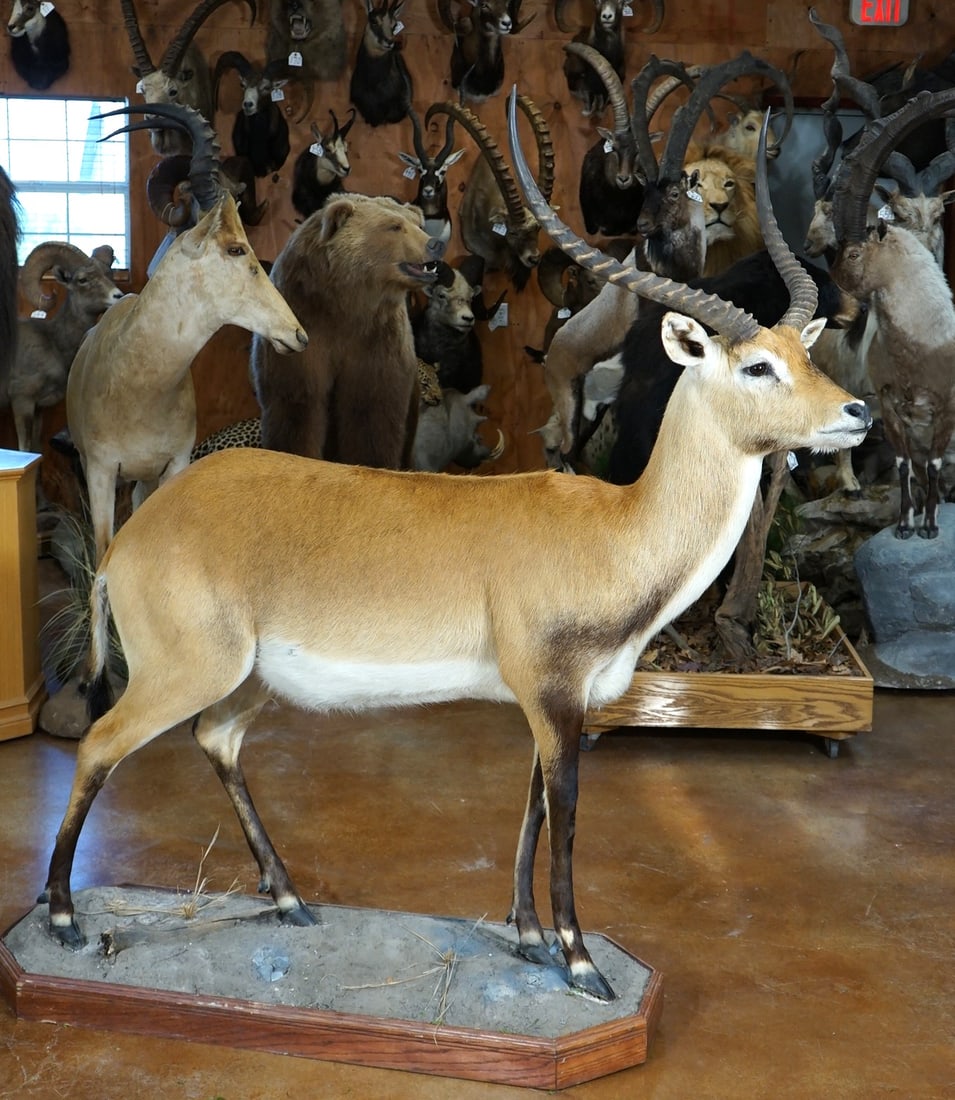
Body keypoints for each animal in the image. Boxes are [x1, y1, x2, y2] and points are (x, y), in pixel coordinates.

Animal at [64, 104, 307, 567]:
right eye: (235, 248)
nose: (298, 334)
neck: (140, 386)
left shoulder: (173, 465)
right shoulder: (100, 471)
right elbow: (104, 549)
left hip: (144, 479)